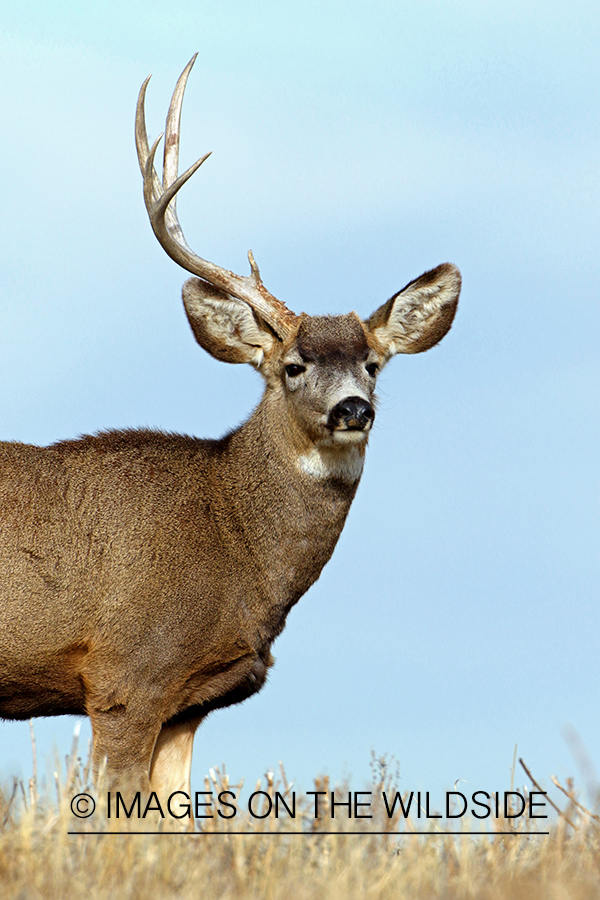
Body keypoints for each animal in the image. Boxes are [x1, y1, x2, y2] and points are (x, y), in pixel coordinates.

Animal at [0, 56, 461, 799]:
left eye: (372, 364)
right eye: (294, 366)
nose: (353, 409)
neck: (234, 541)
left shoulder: (190, 703)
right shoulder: (126, 677)